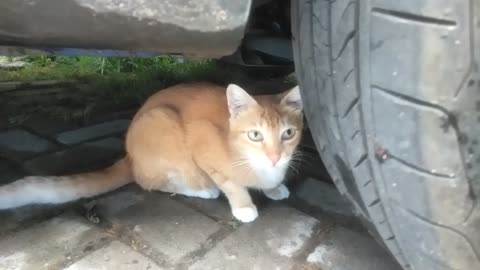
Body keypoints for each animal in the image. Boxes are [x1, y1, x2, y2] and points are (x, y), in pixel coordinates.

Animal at [0, 83, 302, 223]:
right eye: (255, 135)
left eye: (288, 133)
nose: (275, 157)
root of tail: (129, 157)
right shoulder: (204, 150)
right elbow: (231, 184)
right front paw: (243, 205)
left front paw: (274, 187)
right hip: (164, 123)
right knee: (152, 183)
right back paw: (203, 190)